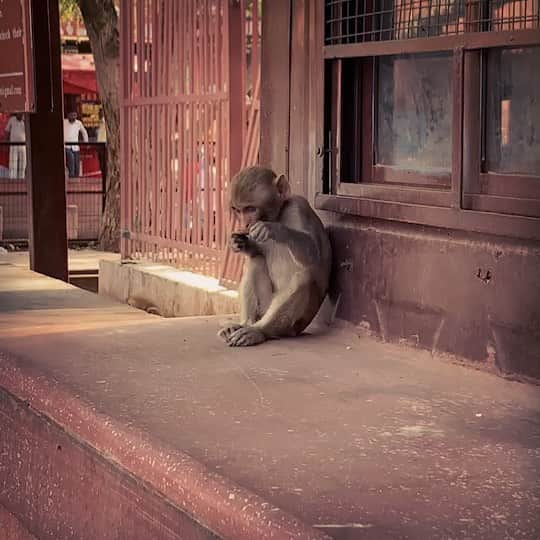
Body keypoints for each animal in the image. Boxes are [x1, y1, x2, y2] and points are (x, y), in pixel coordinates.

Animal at [217, 167, 332, 348]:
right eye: (238, 210)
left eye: (251, 209)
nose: (245, 223)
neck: (279, 215)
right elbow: (256, 252)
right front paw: (237, 243)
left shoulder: (298, 206)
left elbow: (313, 253)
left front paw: (273, 229)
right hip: (265, 307)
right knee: (255, 262)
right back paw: (244, 324)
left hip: (294, 325)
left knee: (303, 278)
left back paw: (259, 331)